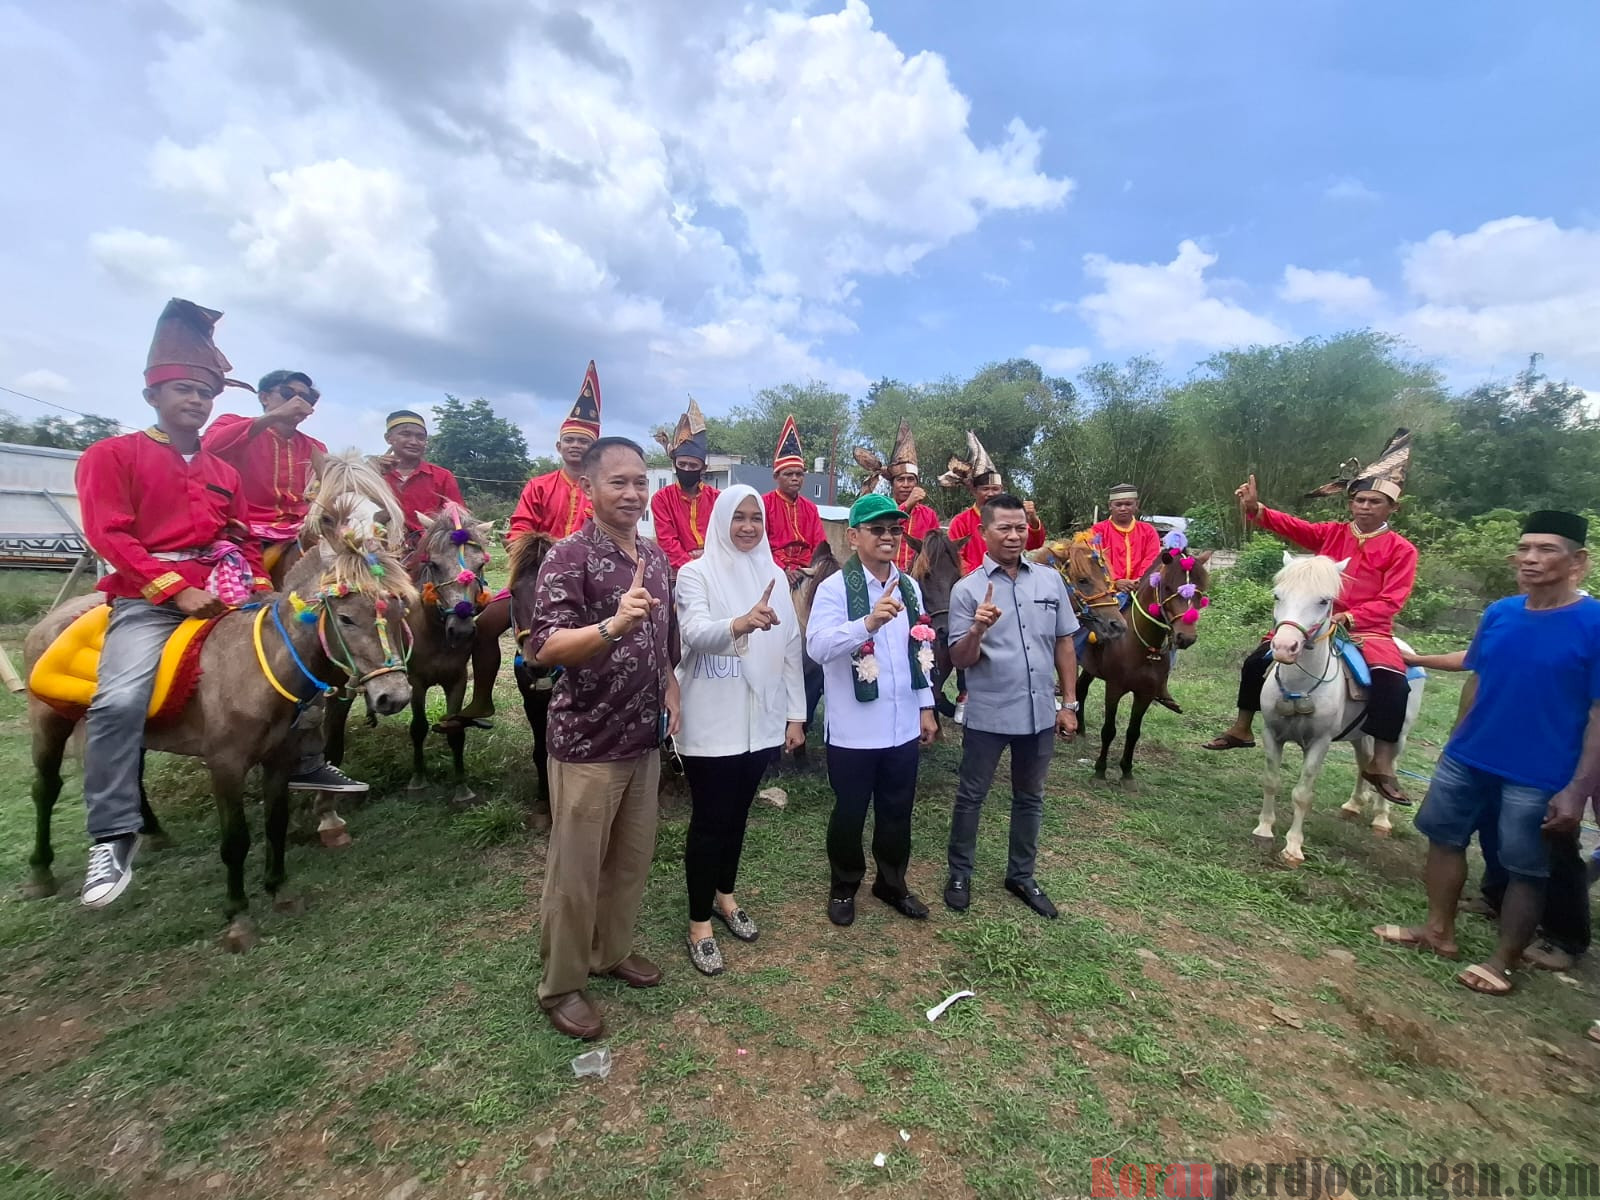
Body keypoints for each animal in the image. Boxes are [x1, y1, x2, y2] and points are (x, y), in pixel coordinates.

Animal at [22, 499, 416, 947]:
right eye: (347, 618)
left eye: (400, 609)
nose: (393, 696)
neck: (256, 668)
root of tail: (50, 619)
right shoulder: (225, 765)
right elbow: (236, 840)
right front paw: (238, 917)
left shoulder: (280, 758)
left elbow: (275, 823)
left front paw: (280, 890)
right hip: (49, 723)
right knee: (45, 789)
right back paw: (44, 874)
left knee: (129, 774)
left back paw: (152, 834)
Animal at [1075, 544, 1209, 790]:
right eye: (1167, 587)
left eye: (1199, 592)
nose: (1185, 637)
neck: (1140, 646)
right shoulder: (1114, 688)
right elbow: (1109, 730)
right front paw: (1100, 771)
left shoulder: (1145, 694)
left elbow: (1133, 732)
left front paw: (1127, 773)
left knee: (1081, 688)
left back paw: (1079, 731)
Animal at [1248, 553, 1427, 864]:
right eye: (1277, 595)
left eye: (1323, 600)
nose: (1283, 647)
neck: (1300, 686)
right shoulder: (1271, 733)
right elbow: (1271, 780)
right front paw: (1264, 830)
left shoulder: (1320, 742)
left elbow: (1303, 794)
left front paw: (1293, 847)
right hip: (1360, 734)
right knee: (1365, 763)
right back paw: (1354, 804)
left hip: (1399, 734)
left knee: (1388, 765)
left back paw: (1382, 817)